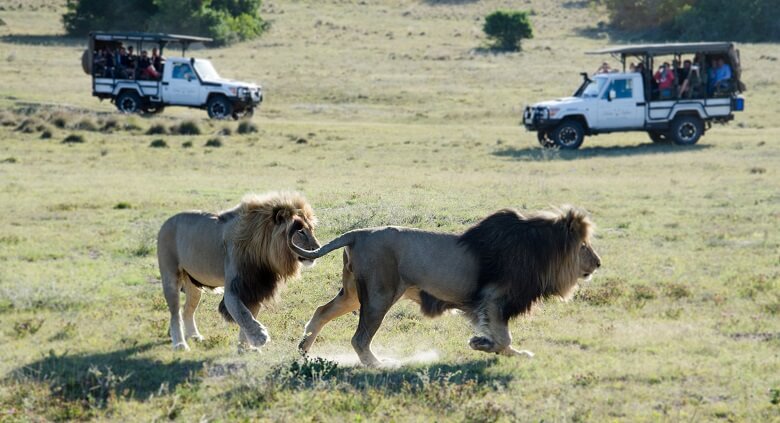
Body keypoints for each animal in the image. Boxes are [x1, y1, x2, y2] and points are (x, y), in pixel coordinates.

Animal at [158, 192, 320, 352]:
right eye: (300, 231)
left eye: (311, 229)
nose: (317, 248)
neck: (263, 253)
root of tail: (166, 222)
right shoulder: (233, 289)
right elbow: (243, 313)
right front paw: (260, 337)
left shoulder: (256, 288)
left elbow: (250, 315)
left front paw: (245, 348)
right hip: (171, 278)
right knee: (175, 313)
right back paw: (180, 344)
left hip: (193, 286)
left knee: (187, 310)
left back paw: (194, 336)